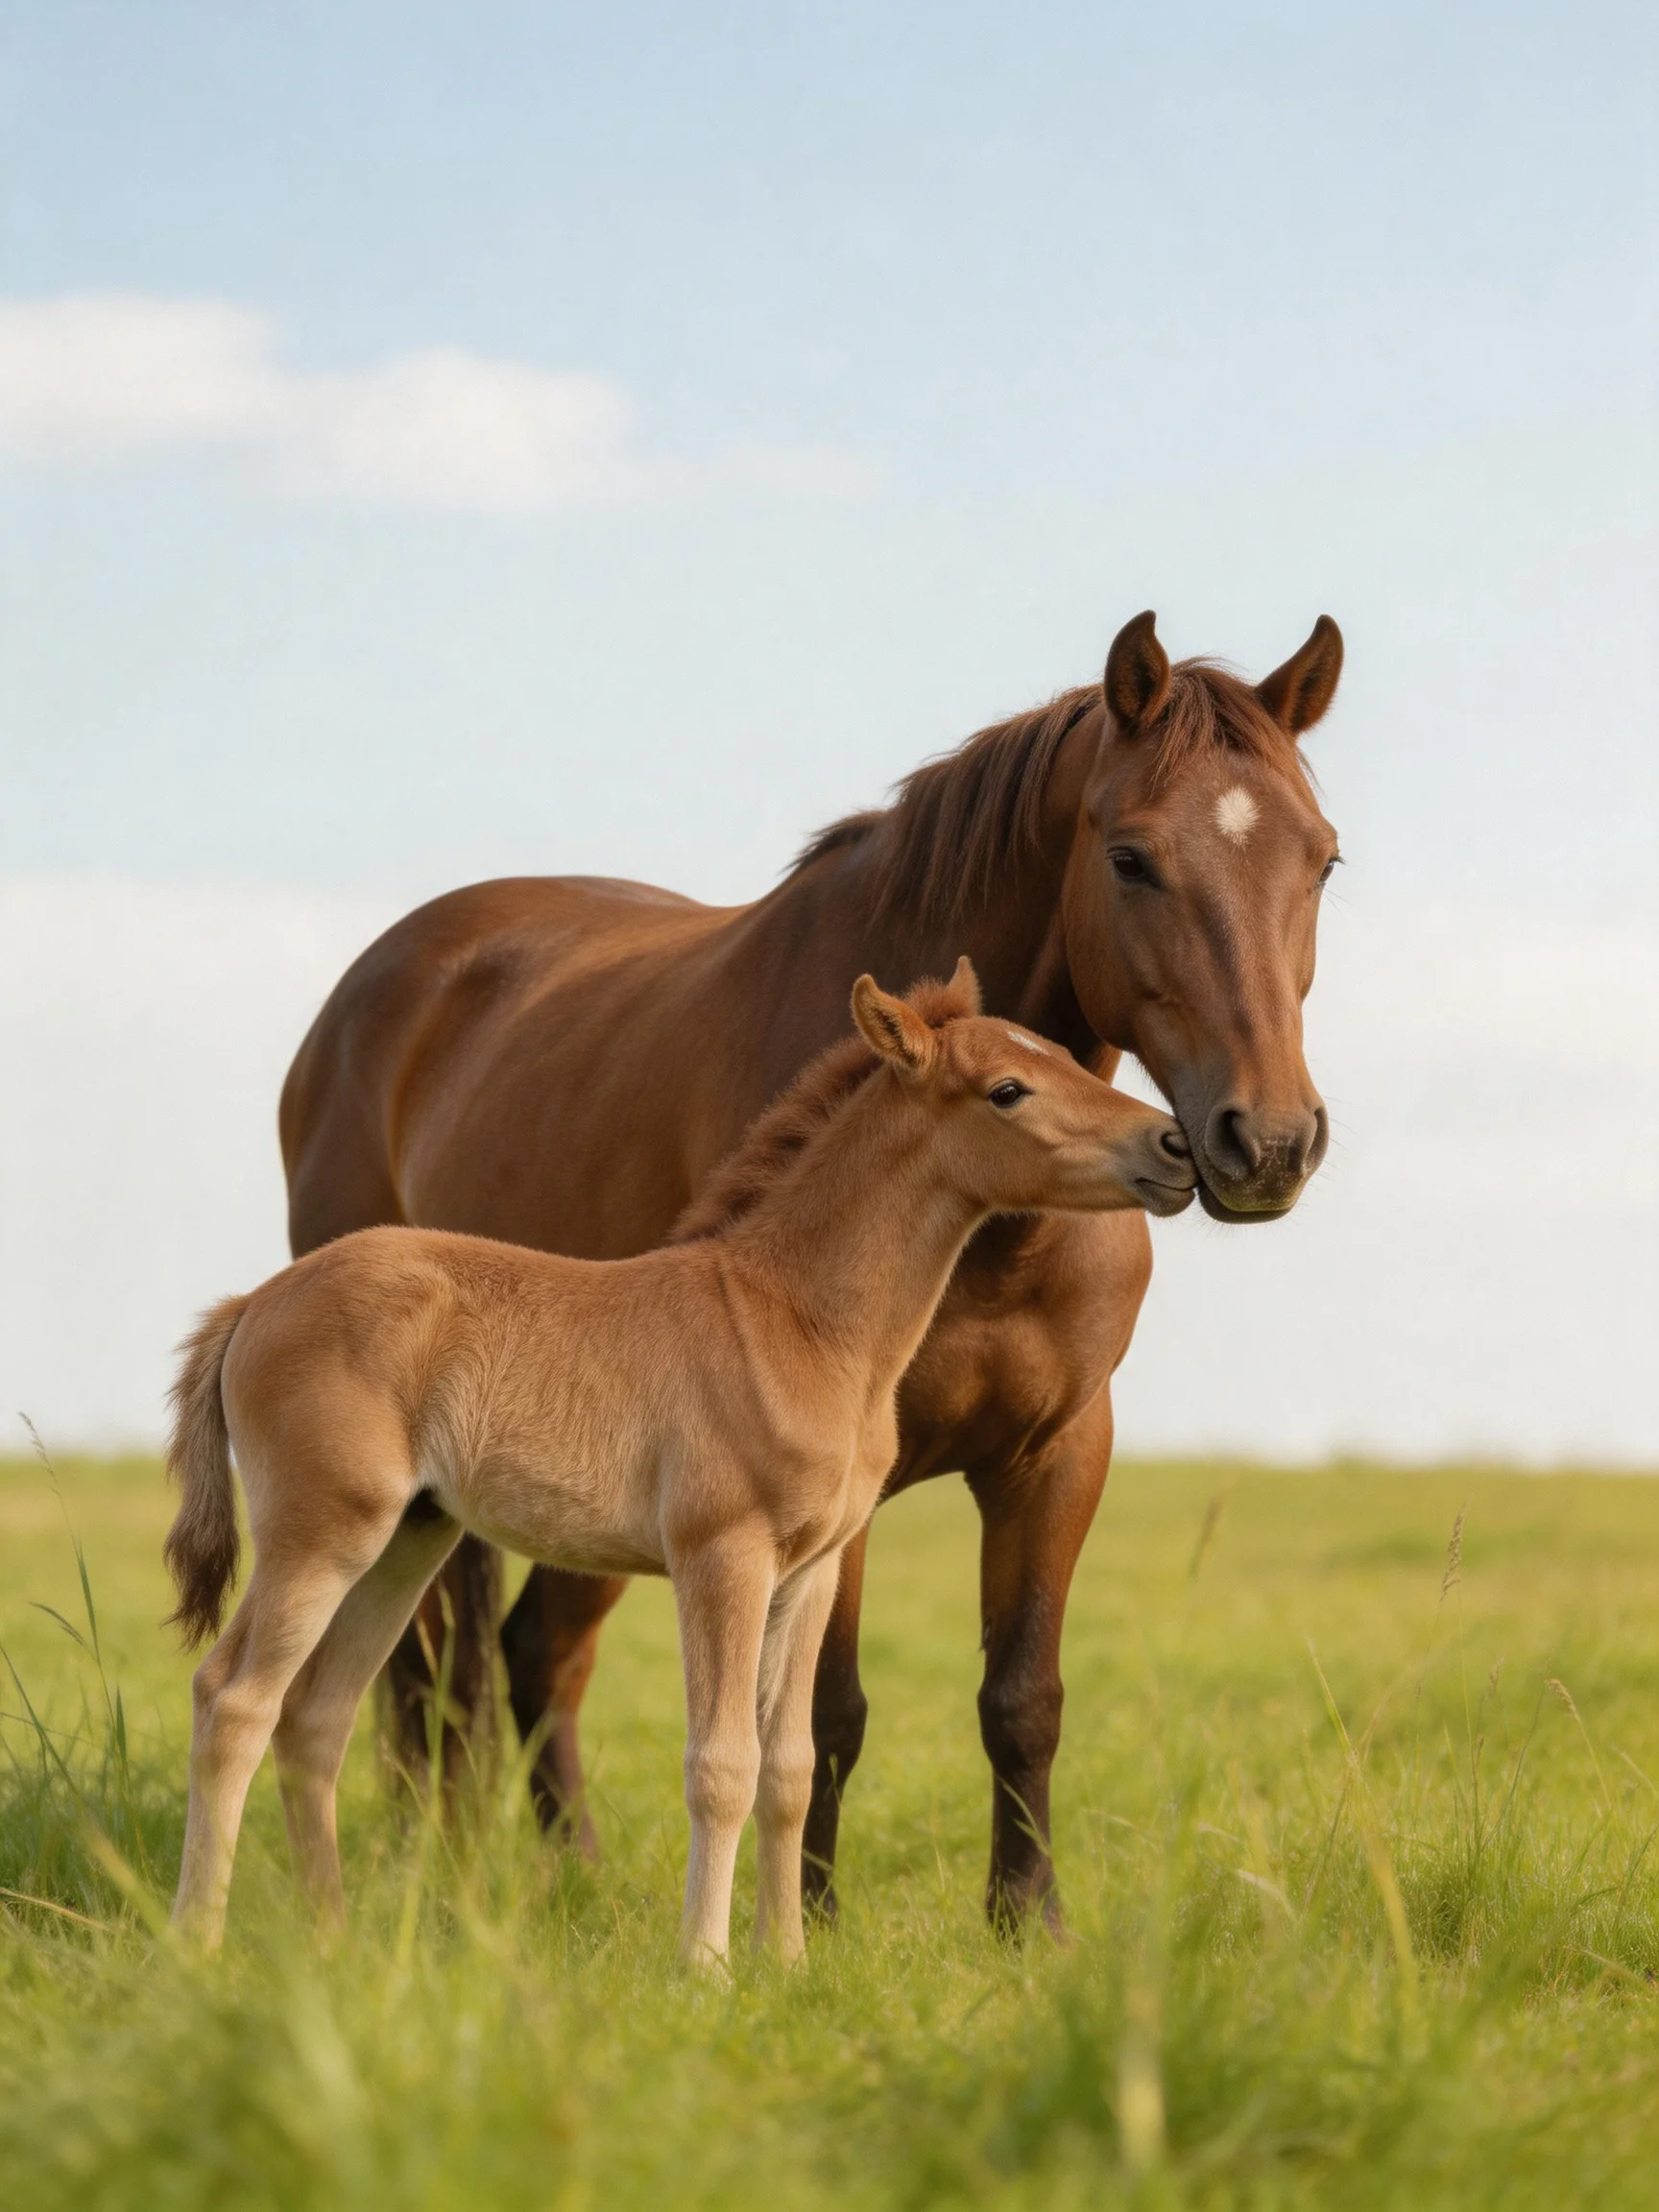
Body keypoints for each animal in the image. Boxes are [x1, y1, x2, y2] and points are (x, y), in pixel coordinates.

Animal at [165, 963, 1195, 1961]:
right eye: (1008, 1089)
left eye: (1060, 1052)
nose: (1174, 1146)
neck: (798, 1322)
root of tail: (252, 1304)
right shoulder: (721, 1556)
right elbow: (722, 1764)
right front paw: (705, 1969)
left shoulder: (812, 1572)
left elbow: (790, 1765)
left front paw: (790, 1965)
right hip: (323, 1532)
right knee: (234, 1699)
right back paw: (201, 1944)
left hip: (406, 1541)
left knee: (316, 1717)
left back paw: (330, 1942)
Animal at [278, 608, 1344, 1929]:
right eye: (1133, 856)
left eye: (1323, 860)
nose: (1270, 1141)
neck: (981, 1227)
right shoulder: (833, 1490)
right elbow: (825, 1714)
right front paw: (814, 1922)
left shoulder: (1057, 1455)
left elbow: (1023, 1699)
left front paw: (1028, 1924)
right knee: (431, 1674)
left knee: (532, 1655)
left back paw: (570, 1877)